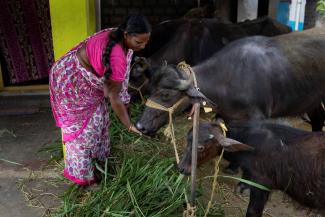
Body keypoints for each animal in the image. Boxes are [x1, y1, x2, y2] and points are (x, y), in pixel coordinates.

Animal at [135, 28, 324, 135]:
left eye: (166, 94)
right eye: (150, 90)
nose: (140, 126)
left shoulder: (259, 120)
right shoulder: (228, 118)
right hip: (313, 101)